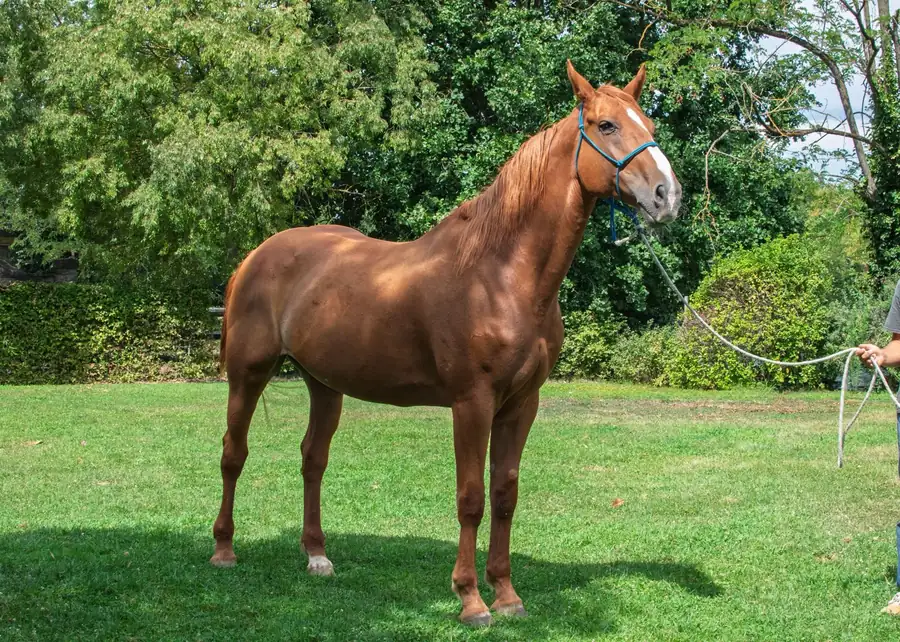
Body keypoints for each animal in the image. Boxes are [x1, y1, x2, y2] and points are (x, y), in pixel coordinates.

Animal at [210, 60, 682, 626]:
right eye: (606, 125)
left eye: (650, 124)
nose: (667, 196)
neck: (501, 275)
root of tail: (256, 257)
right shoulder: (471, 402)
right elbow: (471, 497)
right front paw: (471, 599)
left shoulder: (522, 404)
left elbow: (505, 494)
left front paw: (507, 595)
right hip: (249, 373)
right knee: (234, 454)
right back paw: (224, 550)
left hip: (324, 384)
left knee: (312, 459)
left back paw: (317, 556)